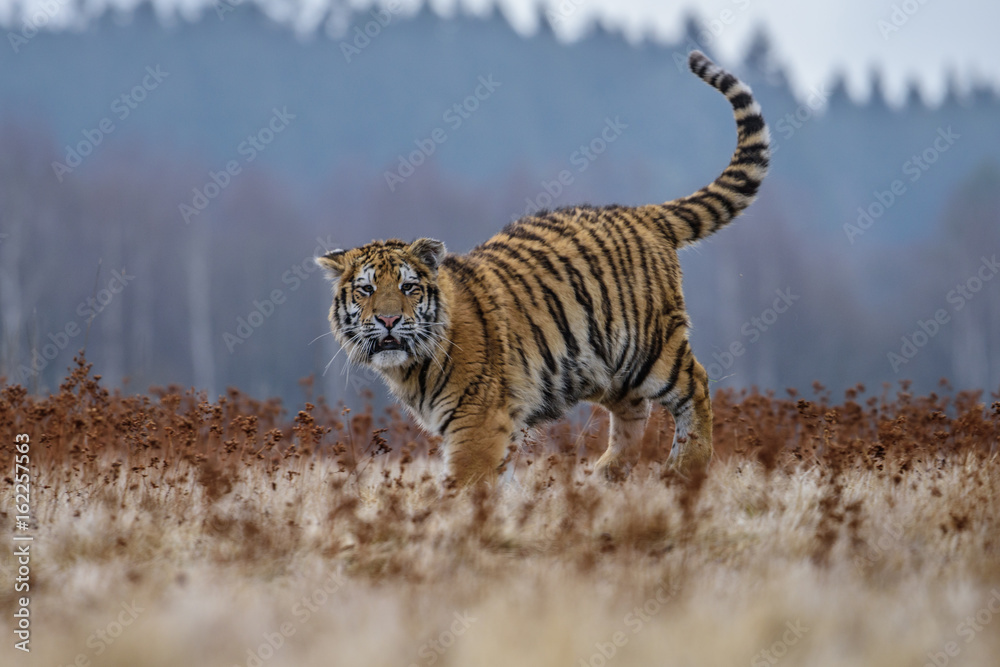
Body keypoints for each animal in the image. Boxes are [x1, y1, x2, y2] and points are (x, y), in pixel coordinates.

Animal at [317, 51, 770, 487]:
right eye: (366, 290)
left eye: (408, 288)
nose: (389, 320)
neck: (410, 366)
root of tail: (641, 212)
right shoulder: (506, 422)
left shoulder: (477, 422)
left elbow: (464, 485)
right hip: (599, 364)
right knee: (633, 409)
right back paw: (608, 473)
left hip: (648, 348)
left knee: (697, 384)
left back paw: (685, 466)